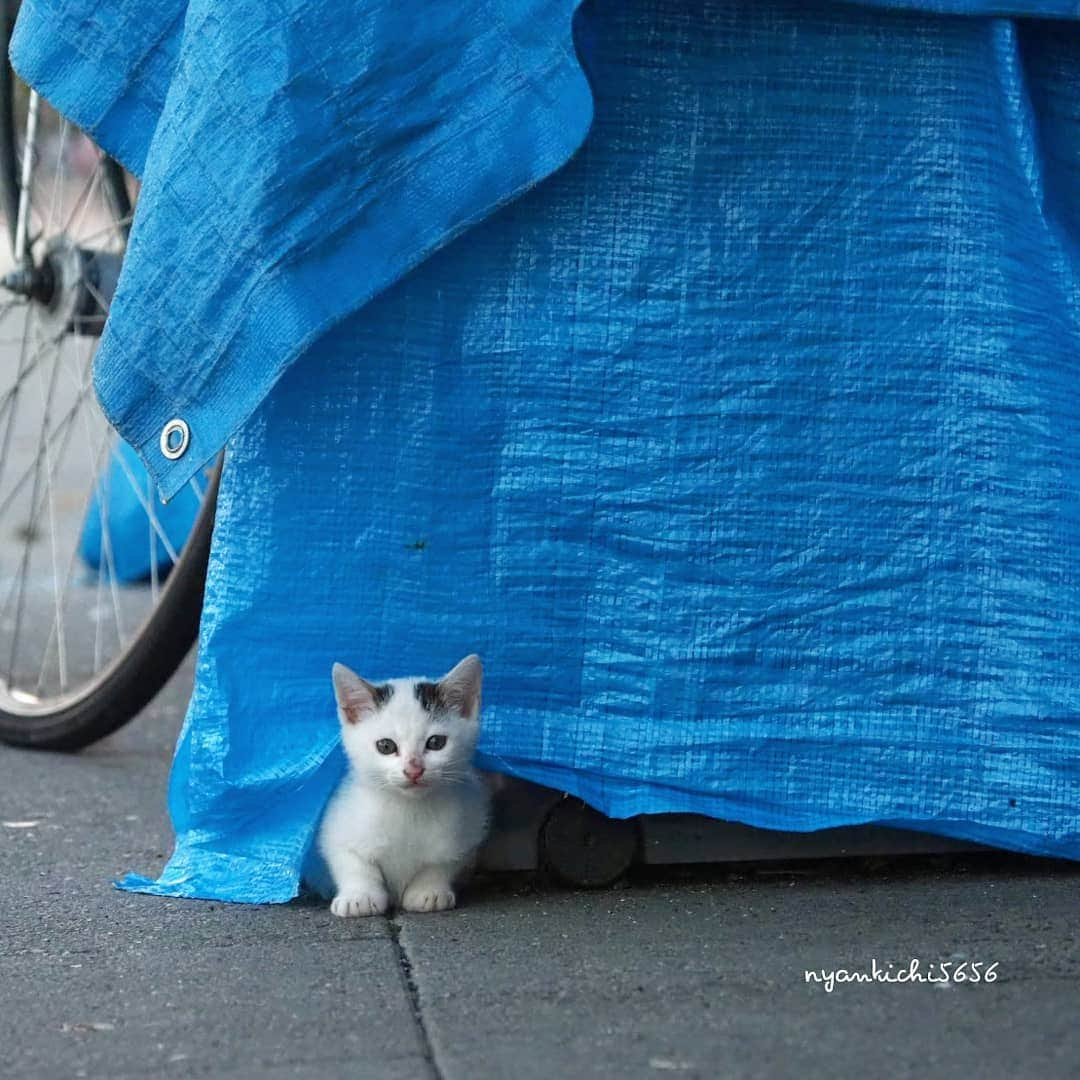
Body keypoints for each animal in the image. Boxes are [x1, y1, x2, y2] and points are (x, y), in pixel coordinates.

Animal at [317, 652, 492, 915]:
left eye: (436, 742)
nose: (414, 770)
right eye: (386, 746)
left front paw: (428, 891)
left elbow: (443, 862)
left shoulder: (468, 826)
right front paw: (359, 896)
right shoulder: (338, 824)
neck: (408, 809)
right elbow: (354, 863)